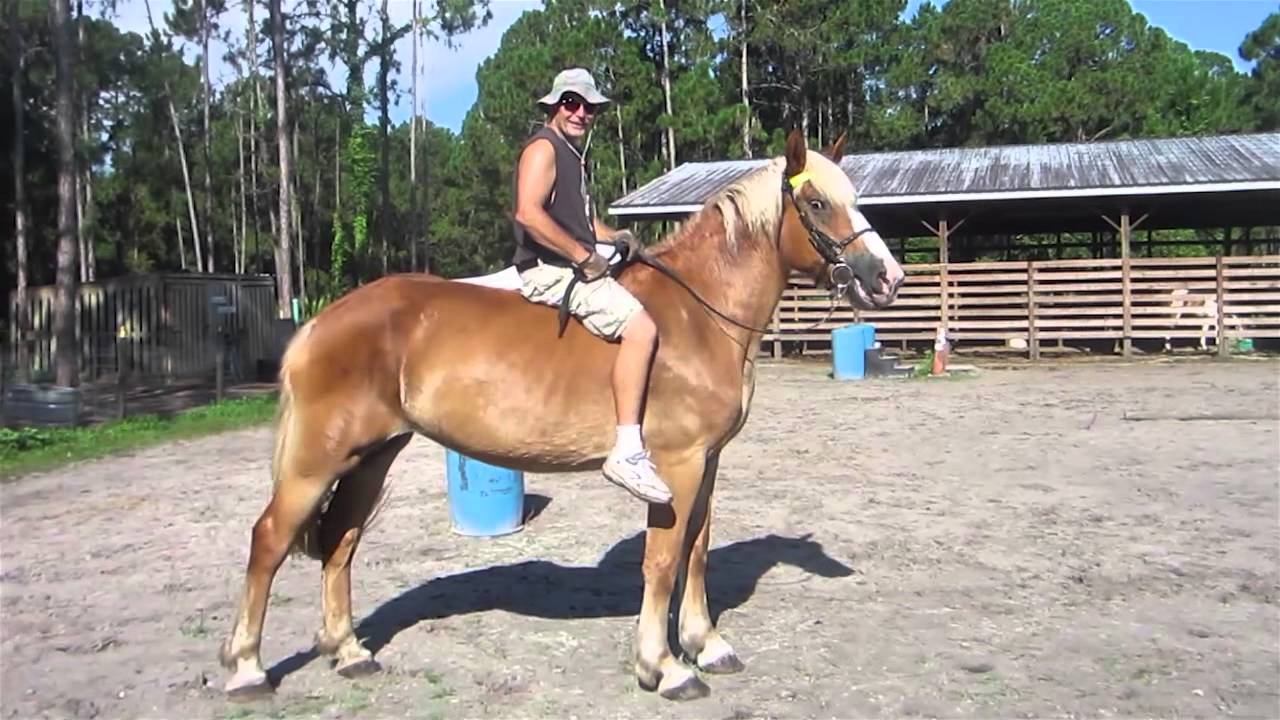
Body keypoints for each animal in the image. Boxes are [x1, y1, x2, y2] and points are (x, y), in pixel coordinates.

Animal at [217, 128, 901, 702]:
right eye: (816, 203)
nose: (887, 278)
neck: (697, 315)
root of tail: (319, 323)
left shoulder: (708, 463)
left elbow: (697, 551)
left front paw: (705, 645)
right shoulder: (676, 465)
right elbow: (662, 559)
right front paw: (664, 666)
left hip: (371, 458)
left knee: (341, 542)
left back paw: (349, 652)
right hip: (316, 462)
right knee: (269, 539)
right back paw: (247, 667)